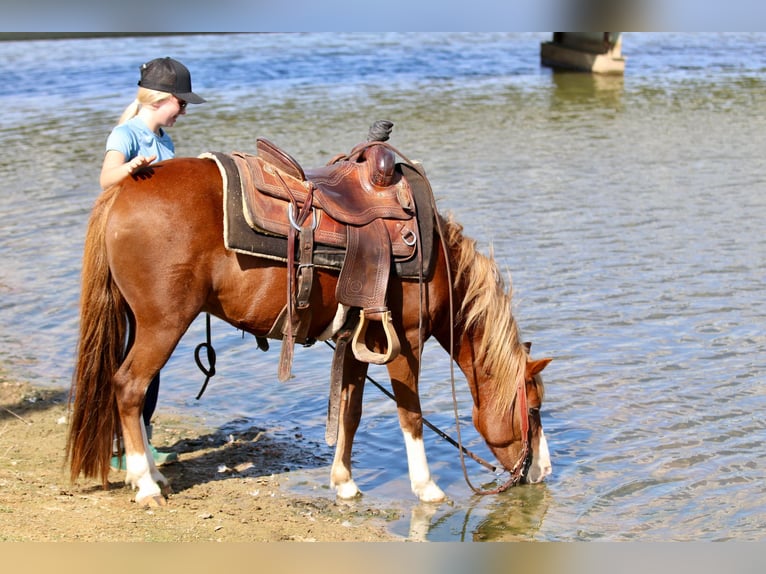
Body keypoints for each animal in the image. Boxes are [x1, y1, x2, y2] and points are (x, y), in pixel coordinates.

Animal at [66, 152, 552, 507]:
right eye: (533, 409)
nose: (543, 470)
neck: (436, 263)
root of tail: (123, 189)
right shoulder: (406, 341)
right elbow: (410, 414)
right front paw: (427, 487)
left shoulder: (359, 341)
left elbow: (352, 413)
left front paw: (344, 481)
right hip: (162, 325)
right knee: (129, 388)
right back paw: (146, 484)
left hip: (139, 323)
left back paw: (151, 475)